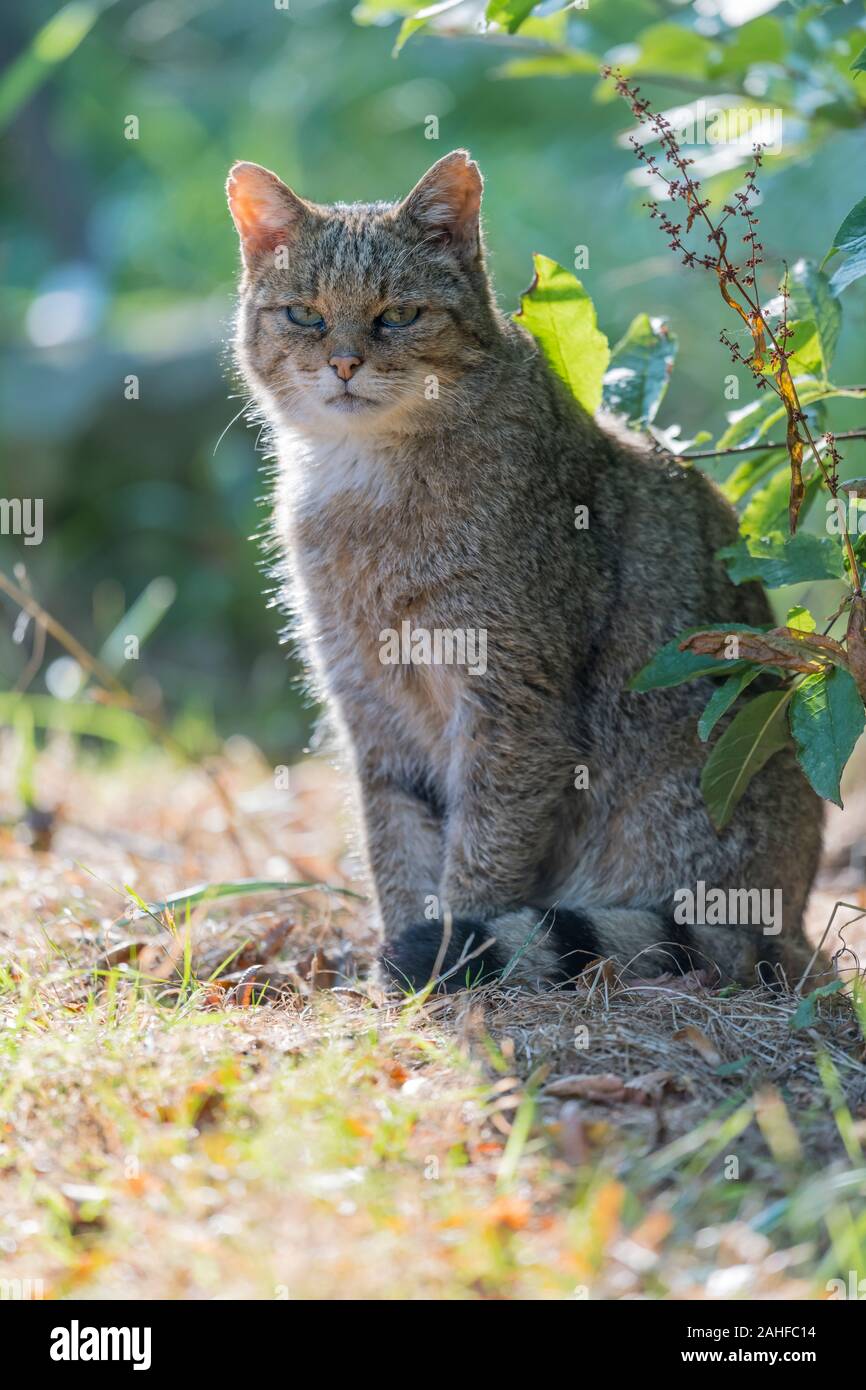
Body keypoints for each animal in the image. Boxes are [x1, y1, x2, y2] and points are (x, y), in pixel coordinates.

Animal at [226, 149, 822, 989]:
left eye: (399, 315)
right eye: (305, 315)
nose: (343, 361)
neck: (362, 481)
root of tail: (786, 921)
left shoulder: (513, 706)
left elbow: (482, 856)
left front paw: (447, 958)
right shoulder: (370, 705)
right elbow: (396, 849)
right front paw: (407, 962)